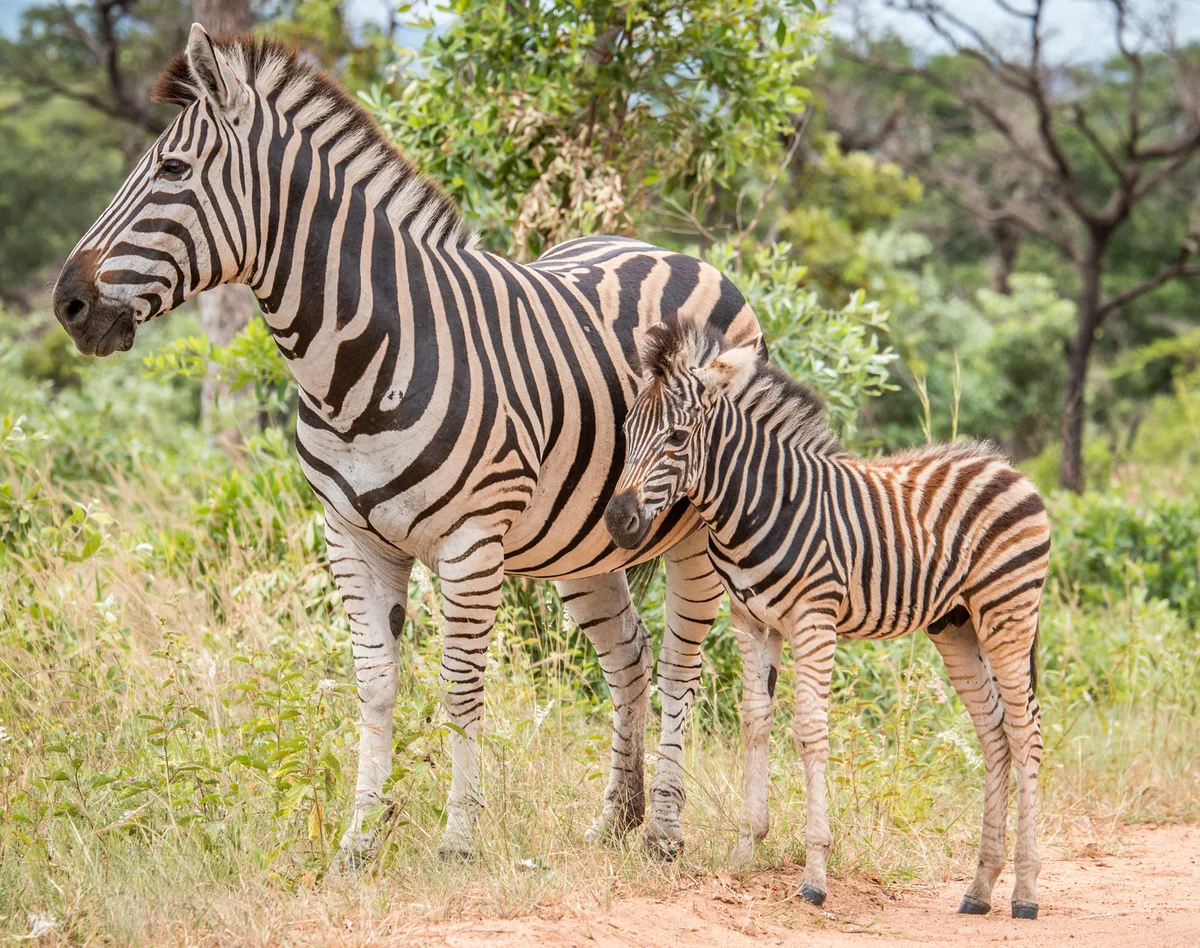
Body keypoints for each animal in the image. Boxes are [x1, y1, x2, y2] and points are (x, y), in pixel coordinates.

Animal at [51, 26, 761, 866]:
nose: (68, 303)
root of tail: (673, 252)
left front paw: (457, 838)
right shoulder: (351, 537)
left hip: (699, 532)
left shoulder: (471, 543)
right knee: (630, 654)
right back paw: (616, 818)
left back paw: (665, 832)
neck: (355, 365)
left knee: (684, 663)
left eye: (172, 170)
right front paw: (358, 841)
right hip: (586, 541)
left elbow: (459, 685)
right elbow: (374, 684)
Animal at [605, 317, 1048, 918]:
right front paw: (745, 851)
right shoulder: (751, 621)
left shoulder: (814, 619)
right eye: (627, 429)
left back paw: (1025, 892)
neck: (756, 505)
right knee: (996, 733)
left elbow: (810, 729)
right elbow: (755, 721)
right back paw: (980, 888)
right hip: (955, 625)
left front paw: (814, 875)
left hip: (1008, 614)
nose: (617, 520)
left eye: (676, 437)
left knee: (1026, 733)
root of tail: (1006, 466)